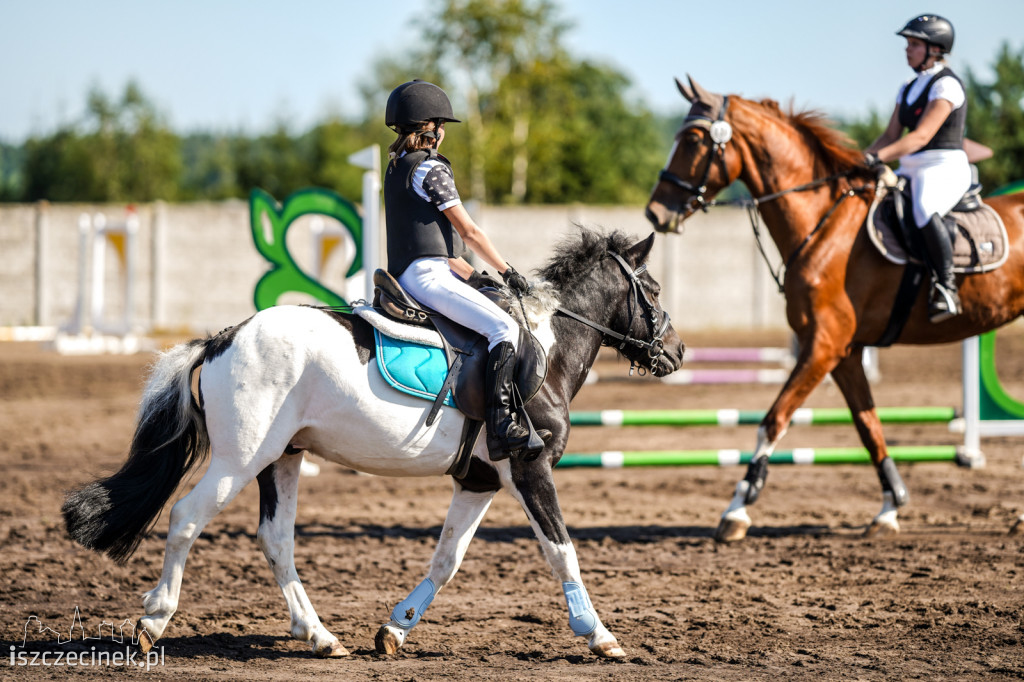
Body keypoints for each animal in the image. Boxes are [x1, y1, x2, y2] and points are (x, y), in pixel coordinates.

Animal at [66, 229, 679, 659]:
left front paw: (394, 630)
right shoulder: (530, 468)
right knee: (187, 518)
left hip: (281, 460)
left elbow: (447, 559)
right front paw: (598, 634)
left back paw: (319, 636)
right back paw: (152, 621)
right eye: (652, 290)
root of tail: (224, 337)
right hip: (240, 460)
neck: (543, 349)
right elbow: (561, 551)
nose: (675, 352)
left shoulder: (480, 480)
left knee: (276, 540)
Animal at [643, 75, 1024, 540]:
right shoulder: (844, 353)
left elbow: (774, 419)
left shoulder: (822, 345)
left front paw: (736, 510)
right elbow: (868, 426)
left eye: (694, 139)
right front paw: (889, 509)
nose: (655, 212)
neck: (823, 224)